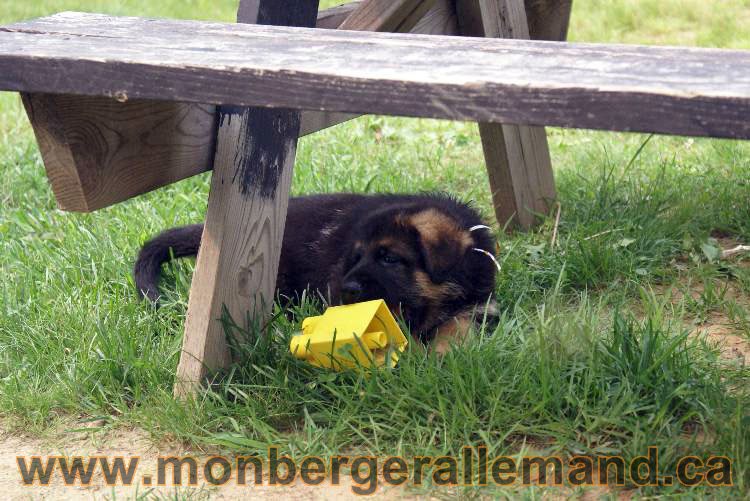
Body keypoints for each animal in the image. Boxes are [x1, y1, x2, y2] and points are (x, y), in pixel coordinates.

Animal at [135, 192, 500, 352]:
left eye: (389, 258)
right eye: (356, 258)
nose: (347, 289)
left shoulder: (481, 305)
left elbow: (460, 327)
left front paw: (443, 353)